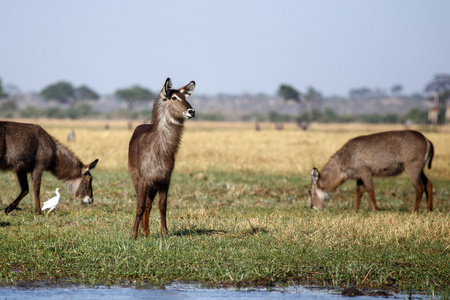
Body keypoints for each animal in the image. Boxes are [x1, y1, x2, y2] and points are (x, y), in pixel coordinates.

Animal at [128, 78, 195, 238]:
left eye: (185, 97)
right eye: (174, 97)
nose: (191, 111)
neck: (160, 151)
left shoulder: (164, 180)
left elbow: (162, 206)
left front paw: (164, 232)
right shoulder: (143, 180)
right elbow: (139, 206)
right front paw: (133, 234)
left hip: (153, 185)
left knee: (149, 205)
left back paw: (146, 231)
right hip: (137, 180)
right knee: (144, 204)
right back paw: (142, 231)